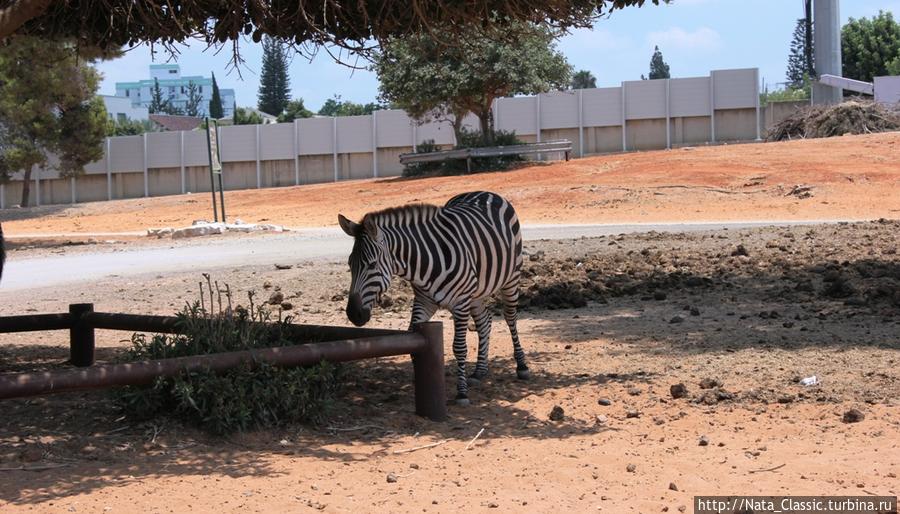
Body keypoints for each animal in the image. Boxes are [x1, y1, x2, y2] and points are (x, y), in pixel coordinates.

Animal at [342, 190, 532, 402]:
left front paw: (461, 393)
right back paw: (479, 371)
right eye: (350, 264)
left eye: (372, 264)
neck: (422, 265)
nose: (353, 314)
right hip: (476, 292)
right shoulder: (424, 302)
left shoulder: (460, 302)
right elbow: (413, 342)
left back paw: (521, 366)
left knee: (510, 318)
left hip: (511, 278)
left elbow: (459, 347)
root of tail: (484, 192)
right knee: (485, 321)